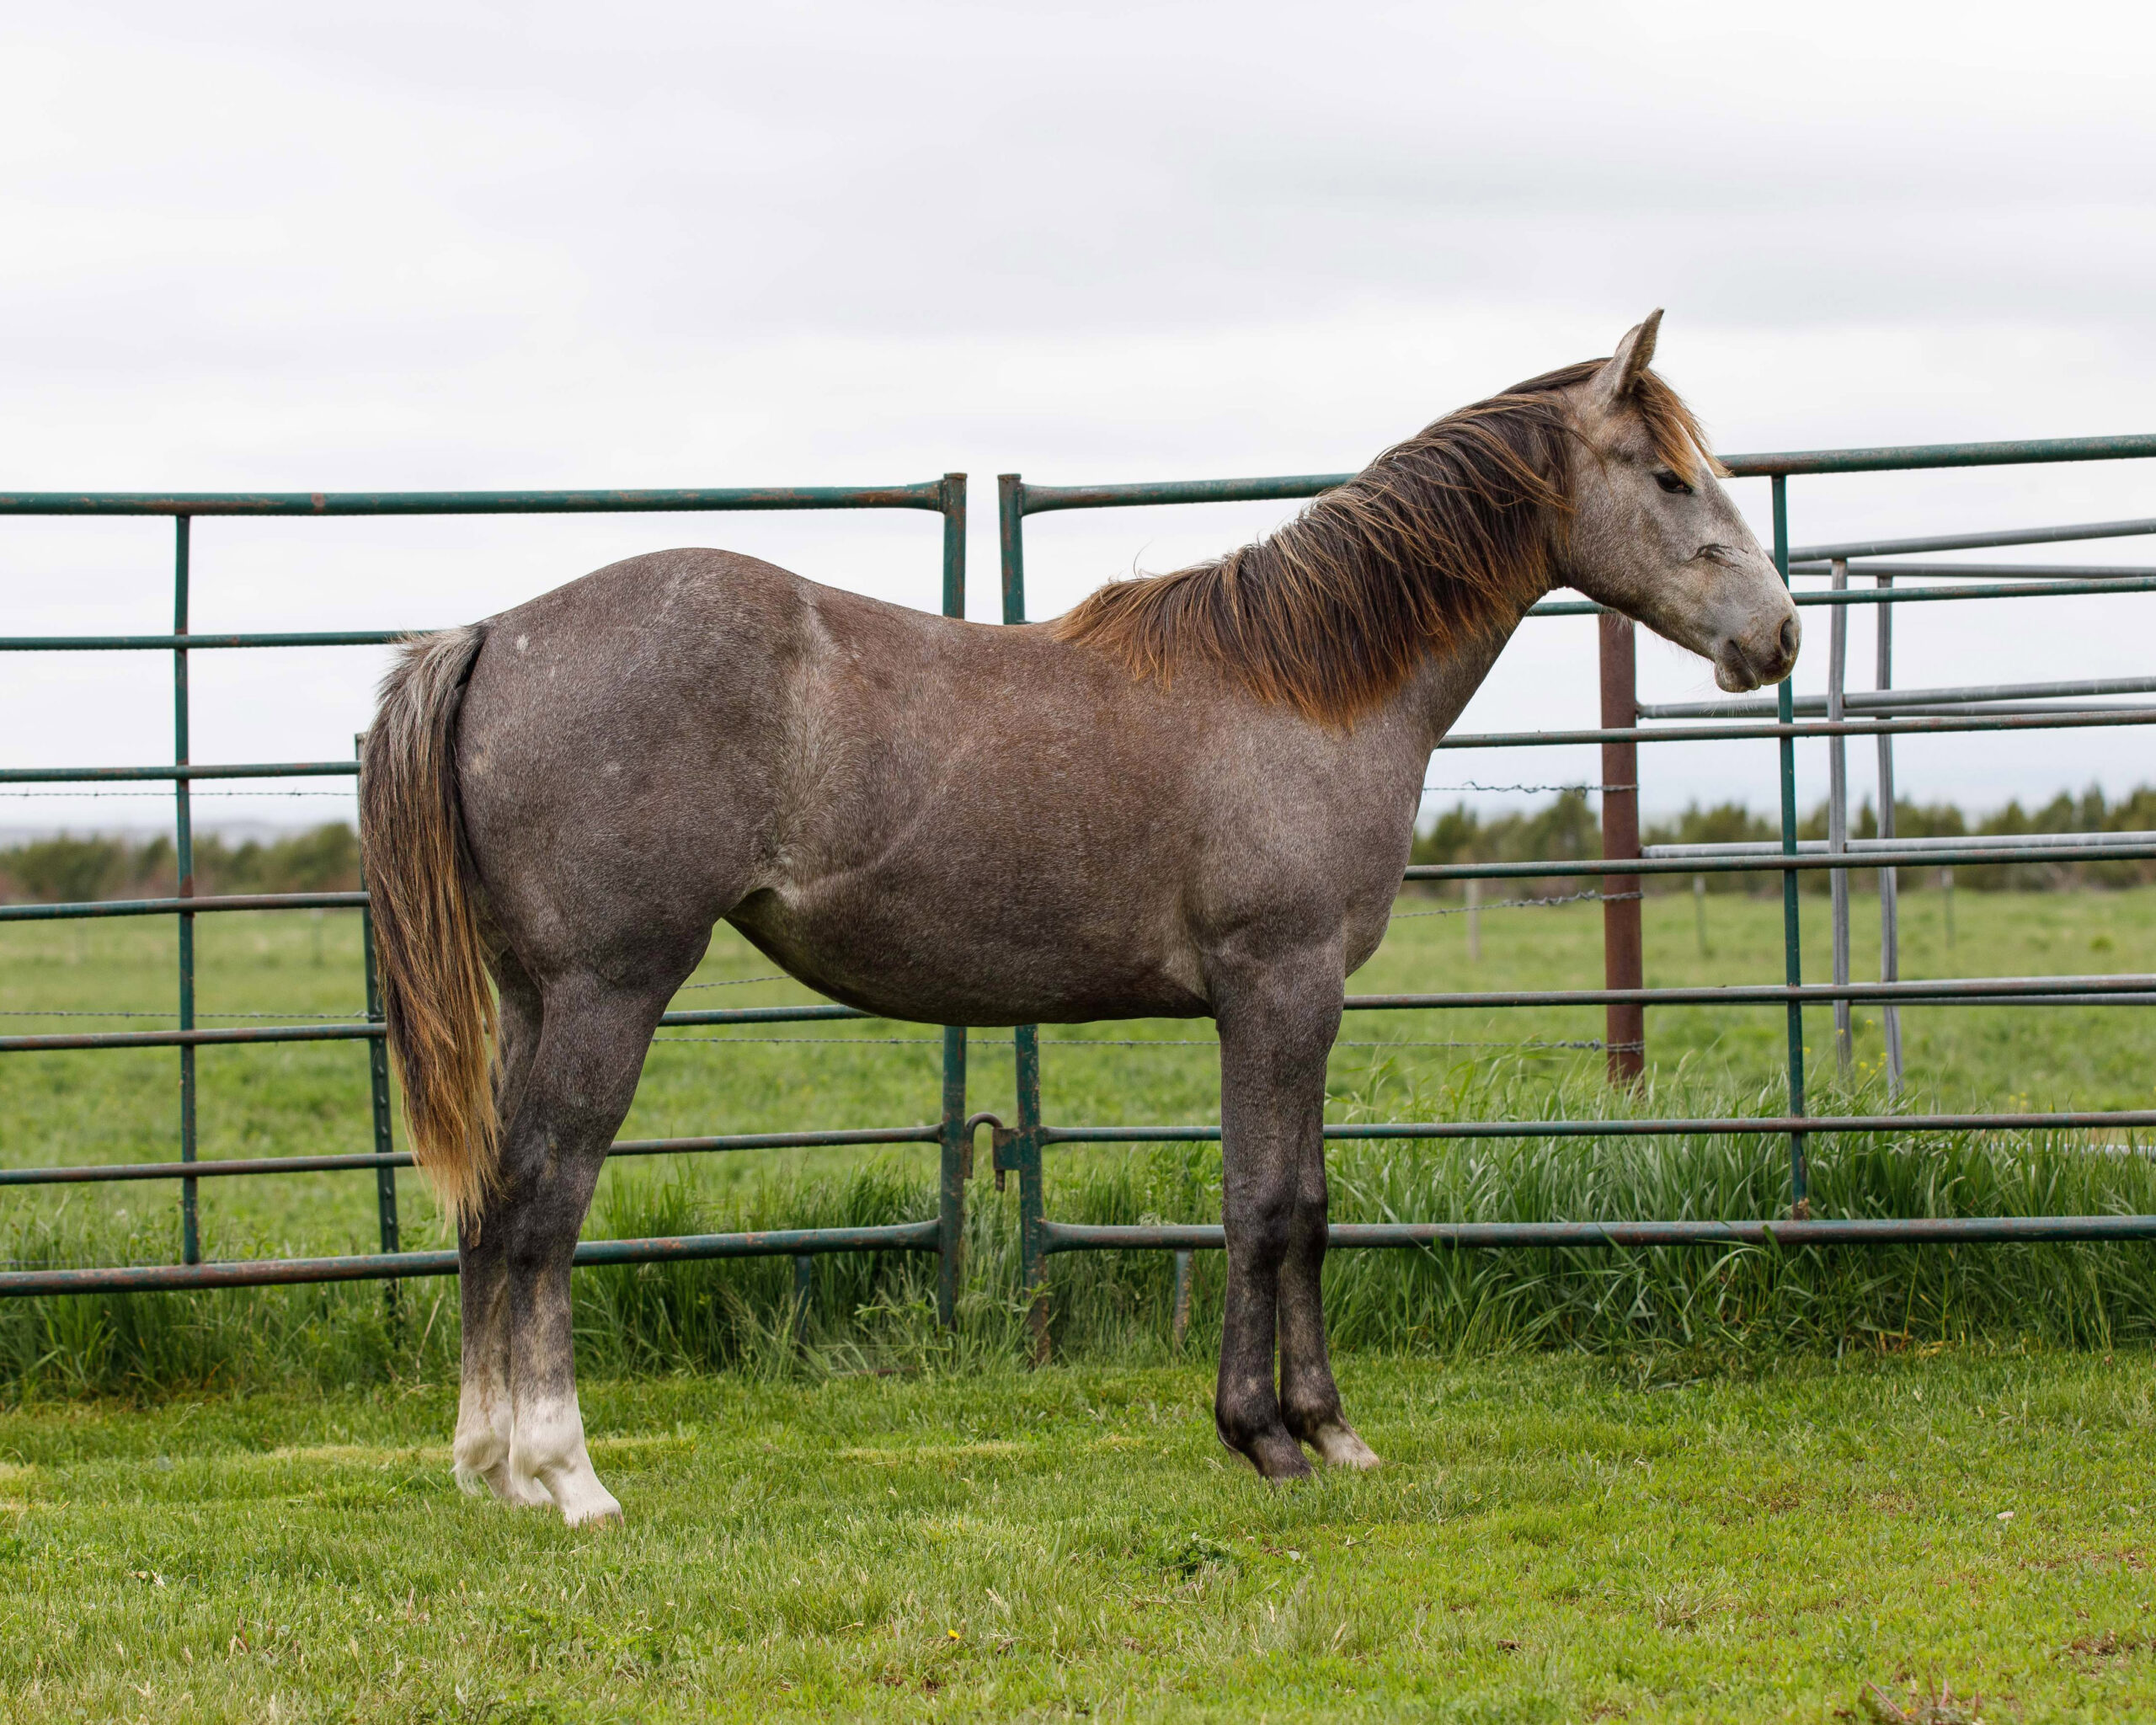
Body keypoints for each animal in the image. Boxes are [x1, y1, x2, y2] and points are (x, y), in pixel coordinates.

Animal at [360, 312, 1798, 1524]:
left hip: (535, 997)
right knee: (544, 1204)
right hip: (610, 990)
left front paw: (1332, 1433)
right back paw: (568, 1476)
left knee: (491, 1201)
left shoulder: (1300, 999)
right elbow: (1265, 1204)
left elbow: (1310, 1203)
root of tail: (490, 634)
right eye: (1671, 480)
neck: (1305, 686)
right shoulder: (1280, 985)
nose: (1778, 637)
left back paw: (490, 1469)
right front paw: (1266, 1437)